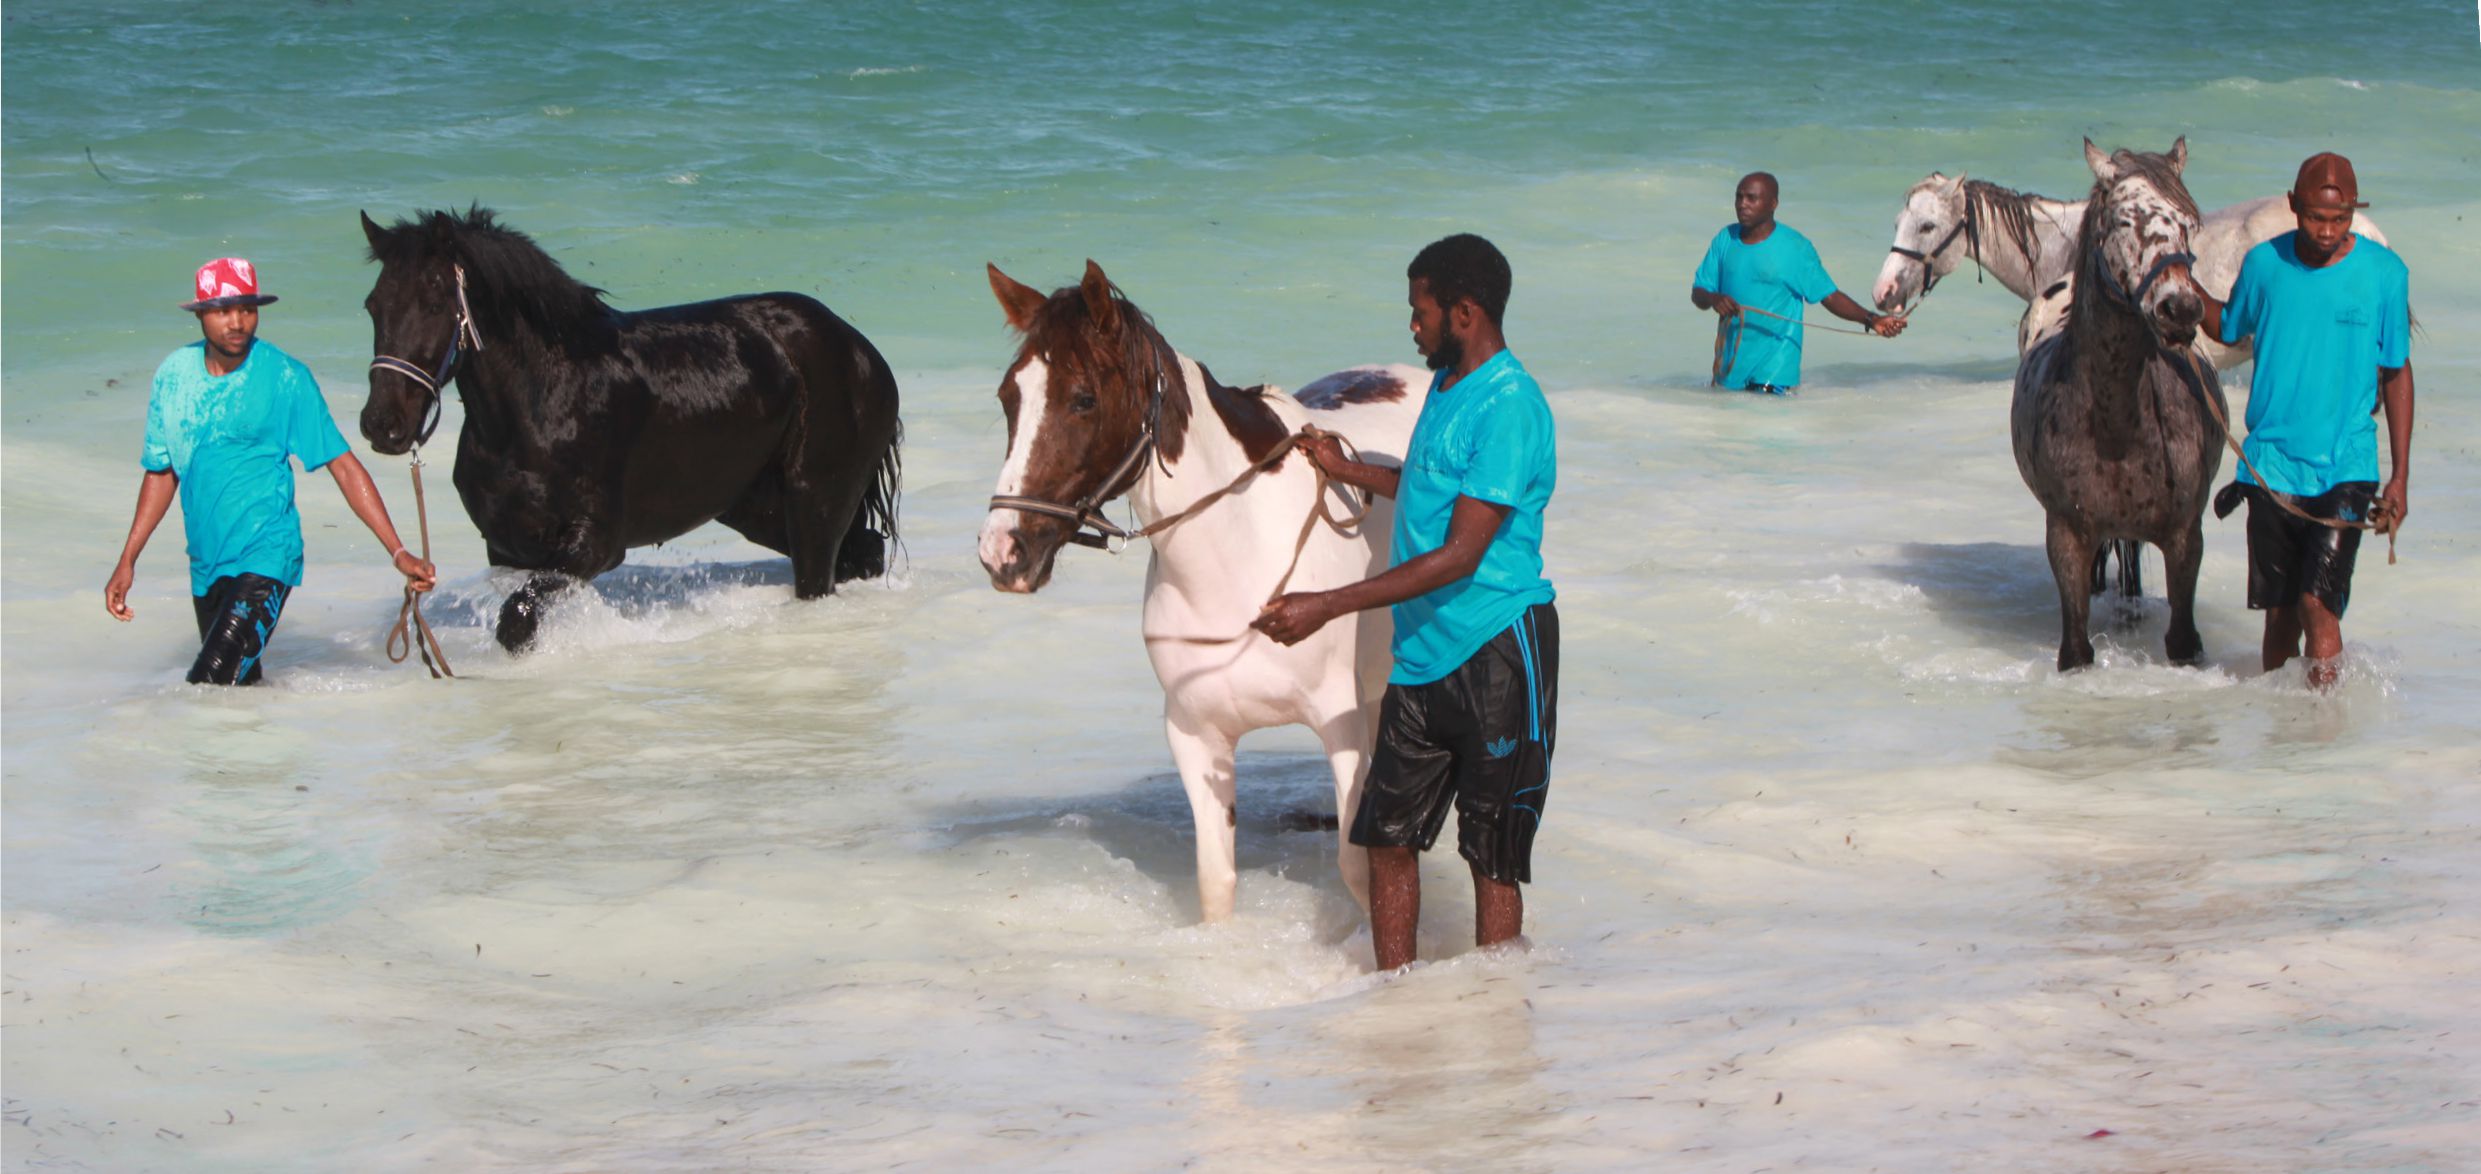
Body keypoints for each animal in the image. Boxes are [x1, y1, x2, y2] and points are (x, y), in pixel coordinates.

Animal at [356, 208, 902, 652]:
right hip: (758, 508)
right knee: (863, 553)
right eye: (373, 305)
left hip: (814, 504)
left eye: (435, 303)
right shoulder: (509, 547)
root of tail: (862, 350)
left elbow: (517, 620)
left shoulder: (595, 544)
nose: (382, 424)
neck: (541, 404)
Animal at [978, 260, 1424, 923]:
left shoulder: (1336, 722)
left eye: (1084, 399)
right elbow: (1216, 882)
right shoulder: (1195, 735)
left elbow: (1360, 870)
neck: (1240, 560)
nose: (1002, 551)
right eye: (1010, 398)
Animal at [2010, 139, 2227, 673]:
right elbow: (2076, 648)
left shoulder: (2185, 538)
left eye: (2187, 223)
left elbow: (2182, 640)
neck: (2116, 426)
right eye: (2125, 220)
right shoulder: (2067, 536)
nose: (2180, 309)